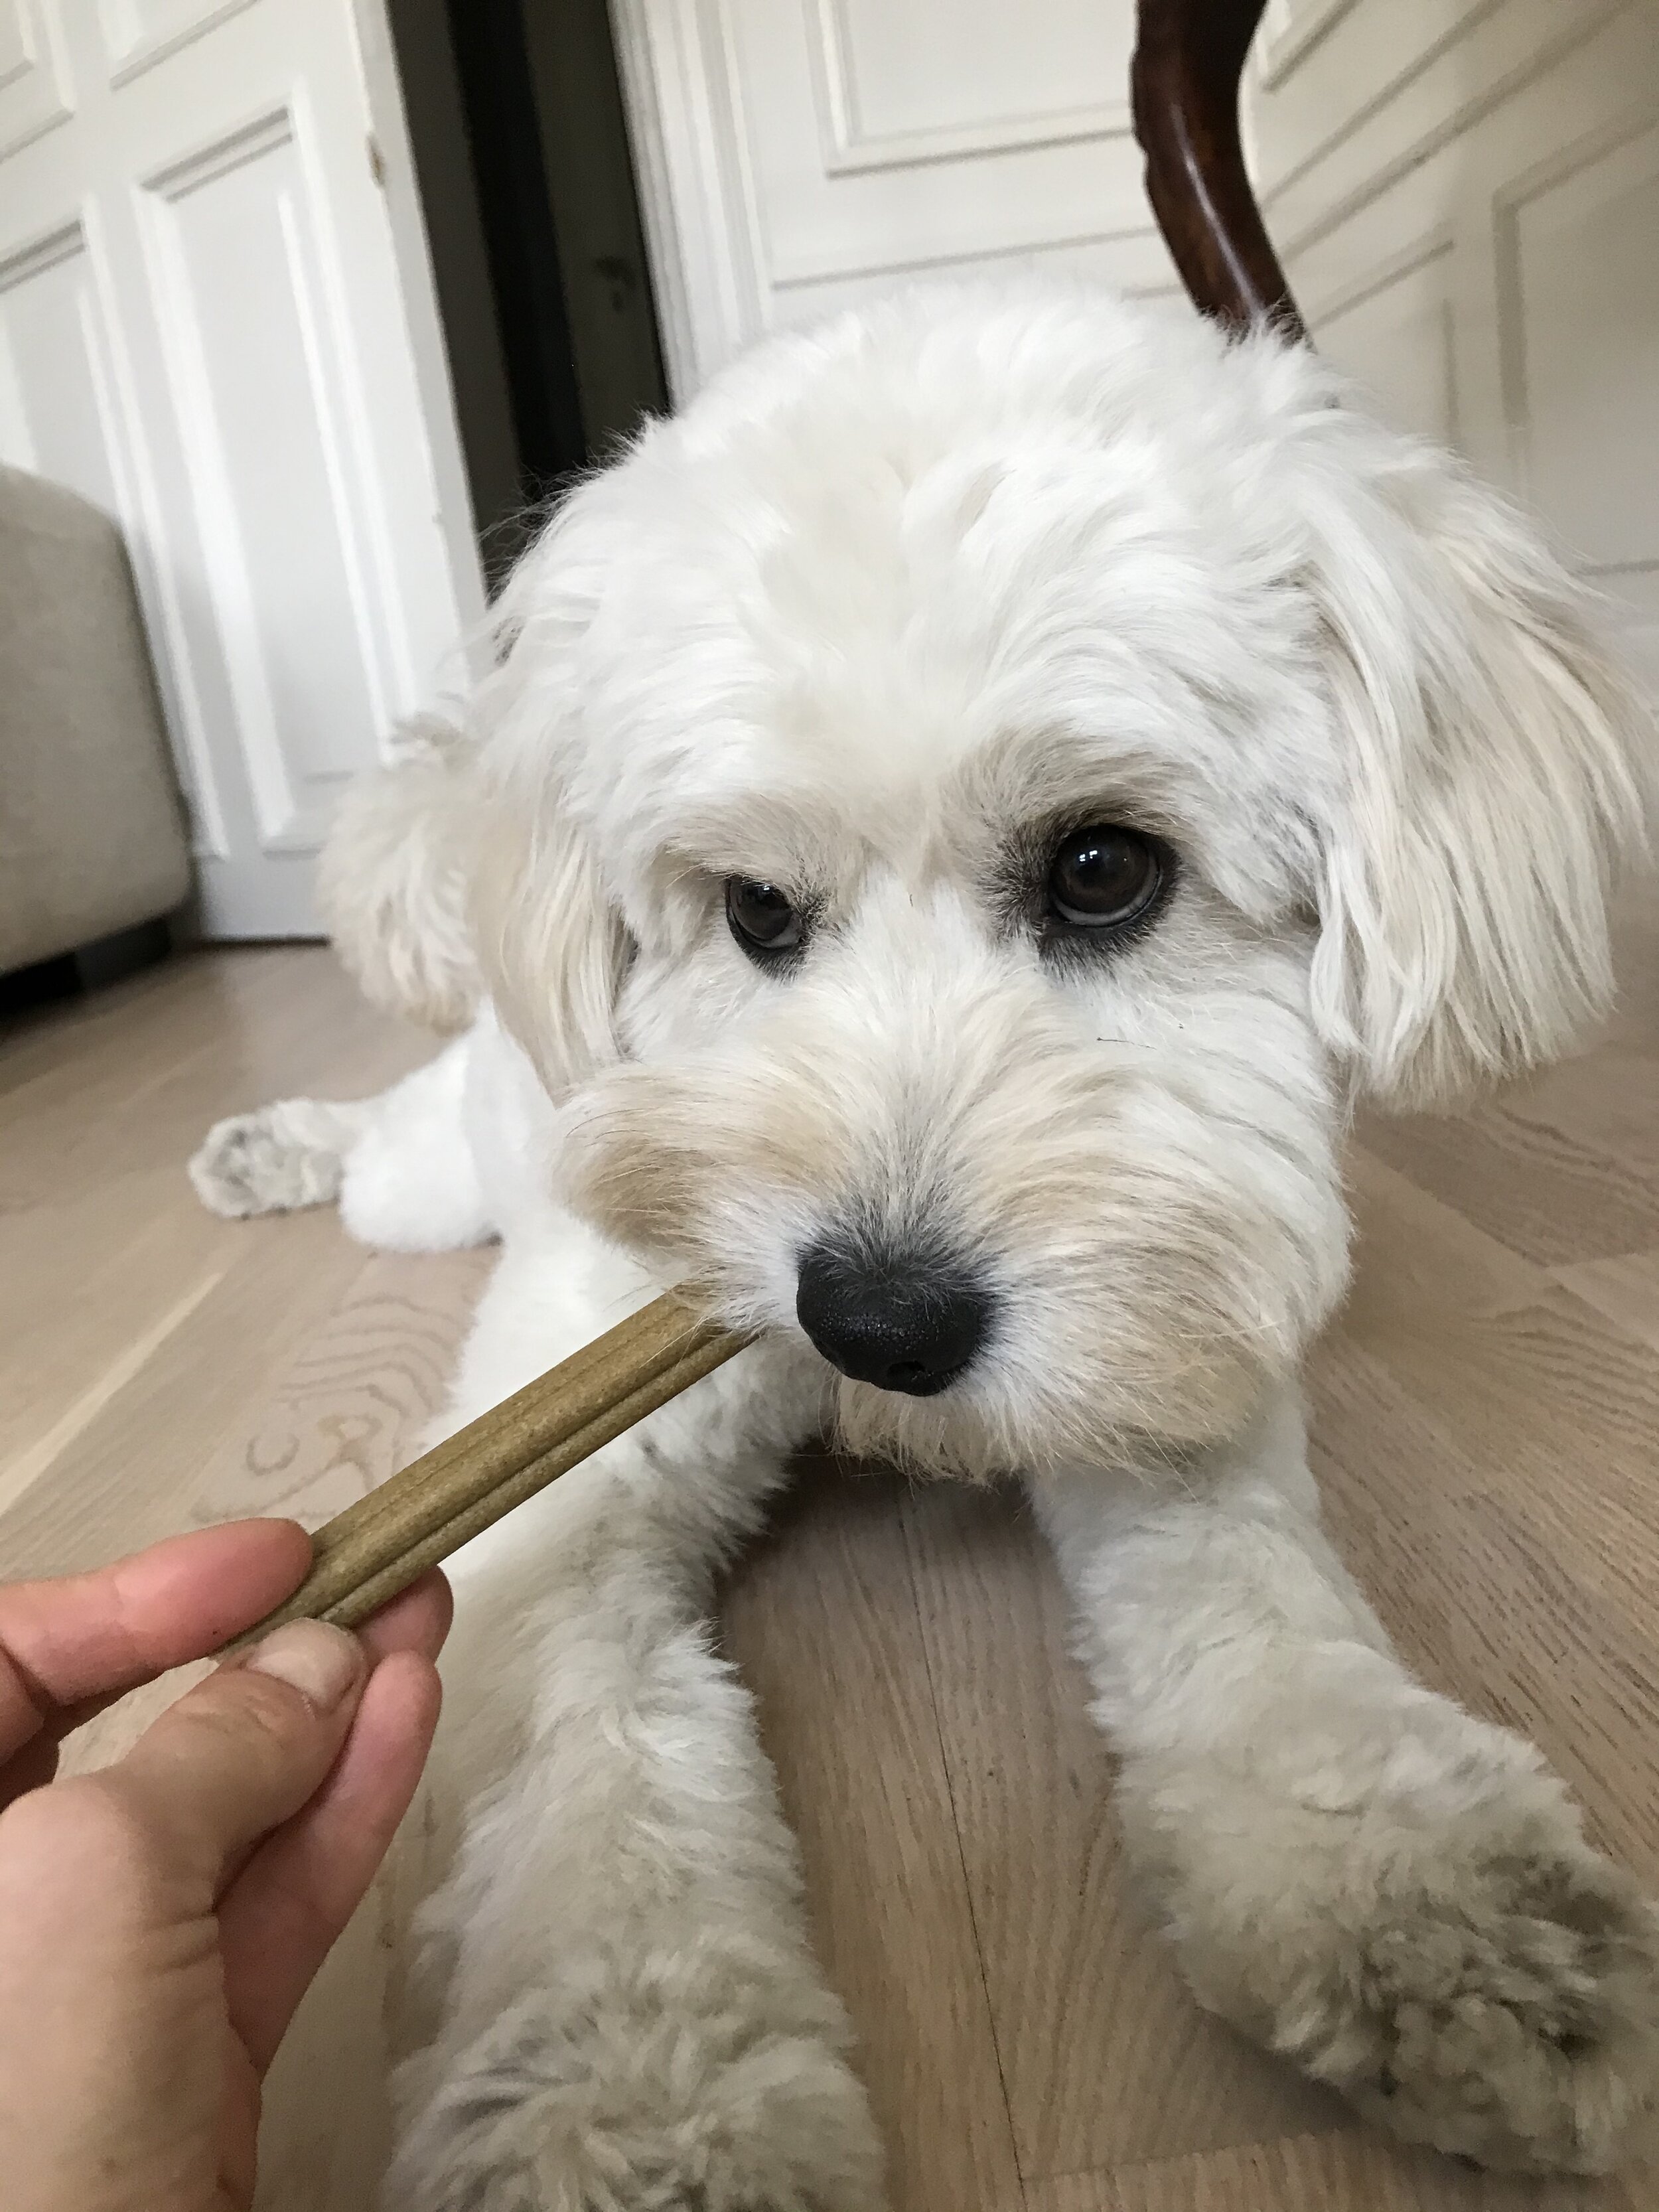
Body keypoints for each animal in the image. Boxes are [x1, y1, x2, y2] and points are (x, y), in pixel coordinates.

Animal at [191, 285, 1659, 2203]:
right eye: (751, 909)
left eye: (1105, 868)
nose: (874, 1321)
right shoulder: (554, 1520)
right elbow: (593, 1798)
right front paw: (639, 2102)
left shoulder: (1165, 1347)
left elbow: (1266, 1626)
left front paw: (1425, 1900)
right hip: (440, 1167)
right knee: (385, 1135)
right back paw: (268, 1145)